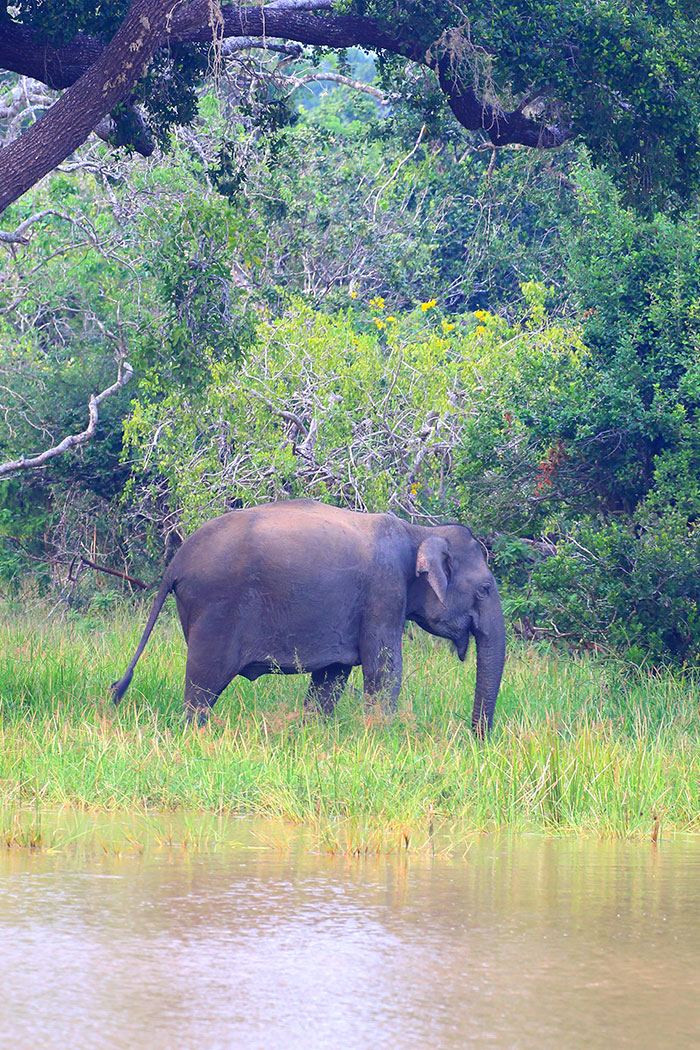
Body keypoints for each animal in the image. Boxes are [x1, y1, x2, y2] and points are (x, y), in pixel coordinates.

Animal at [111, 499, 506, 735]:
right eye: (485, 588)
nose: (475, 740)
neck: (419, 532)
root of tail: (175, 563)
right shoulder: (384, 593)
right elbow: (385, 670)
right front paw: (382, 736)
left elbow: (332, 676)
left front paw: (314, 734)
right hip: (215, 610)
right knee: (203, 684)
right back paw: (196, 733)